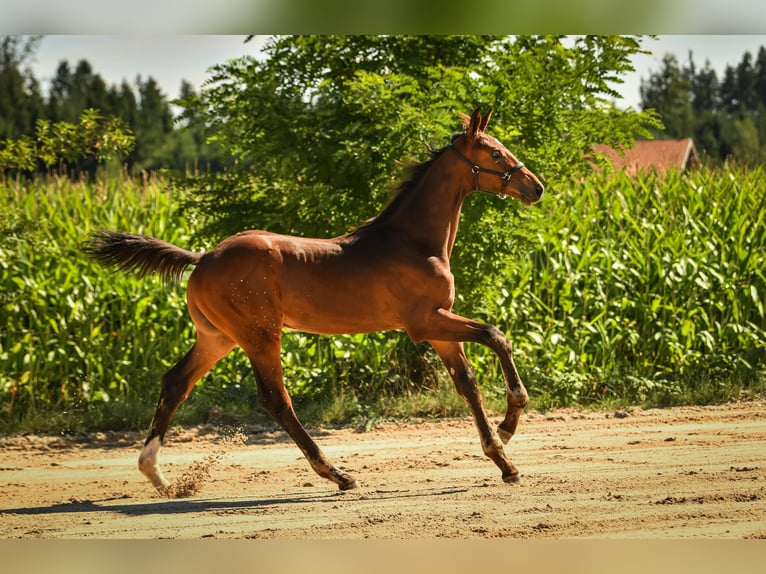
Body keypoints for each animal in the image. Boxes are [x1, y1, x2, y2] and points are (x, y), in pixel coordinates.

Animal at [83, 109, 544, 492]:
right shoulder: (426, 322)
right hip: (260, 336)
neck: (413, 242)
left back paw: (157, 476)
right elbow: (496, 335)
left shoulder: (440, 326)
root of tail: (202, 258)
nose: (536, 187)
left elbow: (467, 384)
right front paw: (509, 425)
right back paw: (338, 474)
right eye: (495, 153)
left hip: (218, 337)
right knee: (276, 400)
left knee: (176, 382)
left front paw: (504, 459)